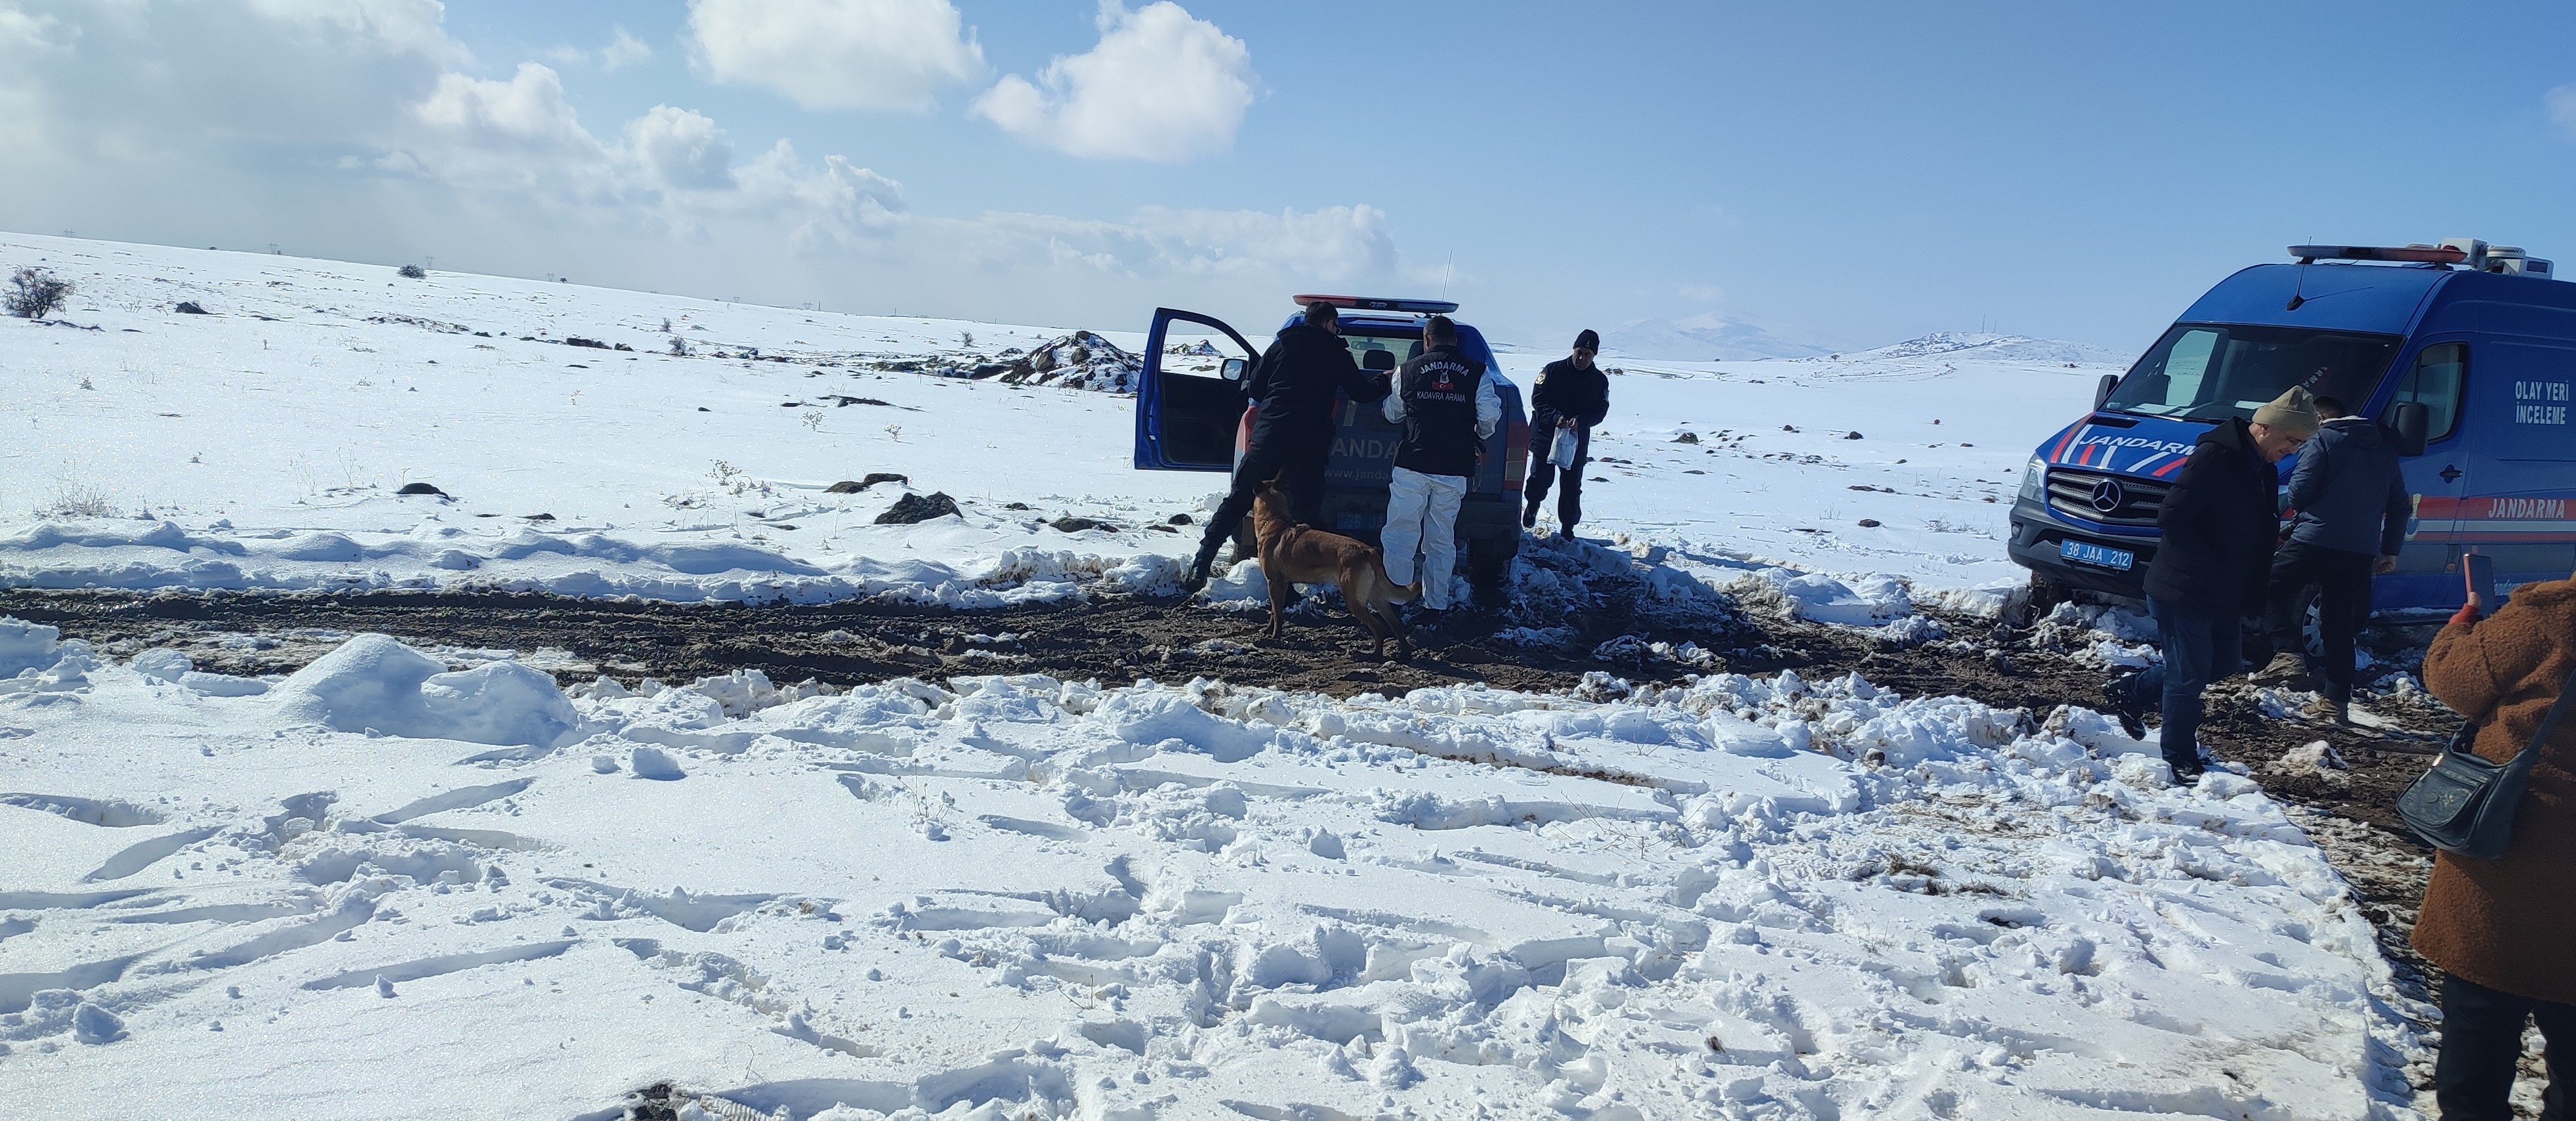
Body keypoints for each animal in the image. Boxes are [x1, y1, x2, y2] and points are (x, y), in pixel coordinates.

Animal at [1252, 479, 1432, 657]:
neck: (1274, 520)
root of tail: (1370, 552)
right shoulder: (1280, 584)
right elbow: (1275, 611)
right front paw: (1269, 630)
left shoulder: (1274, 582)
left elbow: (1276, 613)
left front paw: (1275, 636)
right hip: (1378, 600)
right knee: (1396, 625)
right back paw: (1404, 653)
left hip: (1354, 601)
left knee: (1379, 627)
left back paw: (1375, 655)